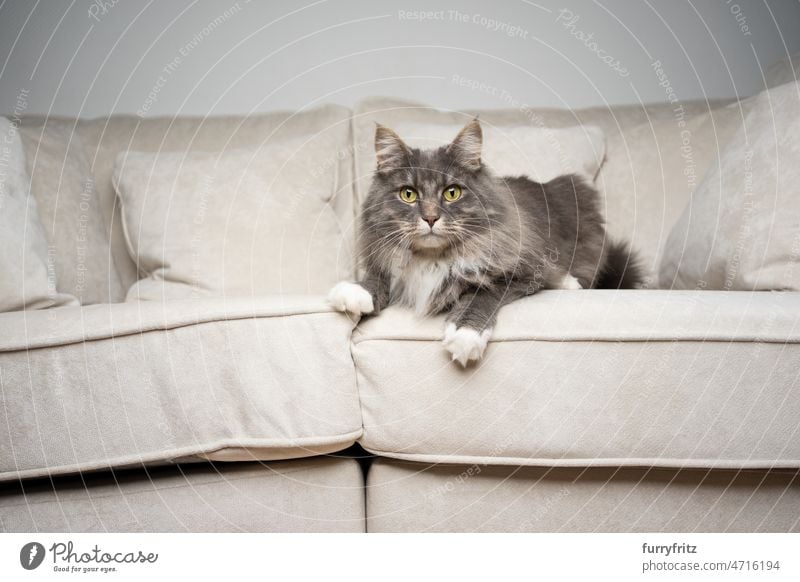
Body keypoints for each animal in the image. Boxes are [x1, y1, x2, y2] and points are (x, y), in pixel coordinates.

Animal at [326, 118, 644, 364]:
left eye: (452, 193)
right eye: (408, 194)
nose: (430, 218)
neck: (433, 258)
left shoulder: (522, 271)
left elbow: (483, 292)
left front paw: (465, 335)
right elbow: (377, 276)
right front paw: (356, 291)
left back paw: (569, 283)